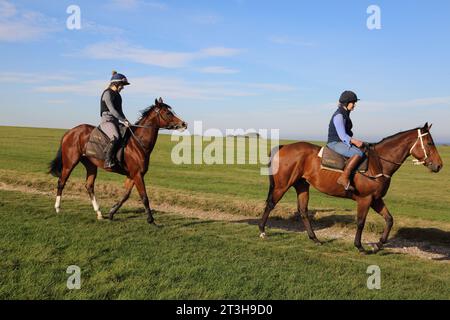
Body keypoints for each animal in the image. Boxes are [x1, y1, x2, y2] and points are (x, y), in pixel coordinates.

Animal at [49, 99, 188, 224]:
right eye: (168, 113)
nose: (184, 124)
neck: (138, 142)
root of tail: (69, 132)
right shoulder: (137, 174)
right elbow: (144, 196)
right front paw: (151, 220)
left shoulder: (133, 175)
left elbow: (126, 195)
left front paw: (111, 212)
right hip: (70, 163)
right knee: (61, 182)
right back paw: (57, 208)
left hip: (91, 165)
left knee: (89, 186)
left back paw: (99, 213)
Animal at [260, 122, 442, 252]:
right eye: (429, 143)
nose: (439, 165)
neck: (379, 163)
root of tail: (284, 147)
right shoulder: (365, 199)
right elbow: (360, 222)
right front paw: (359, 246)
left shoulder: (376, 199)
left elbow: (389, 220)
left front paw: (378, 244)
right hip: (282, 186)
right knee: (270, 204)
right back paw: (262, 231)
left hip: (302, 186)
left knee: (303, 211)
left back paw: (315, 239)